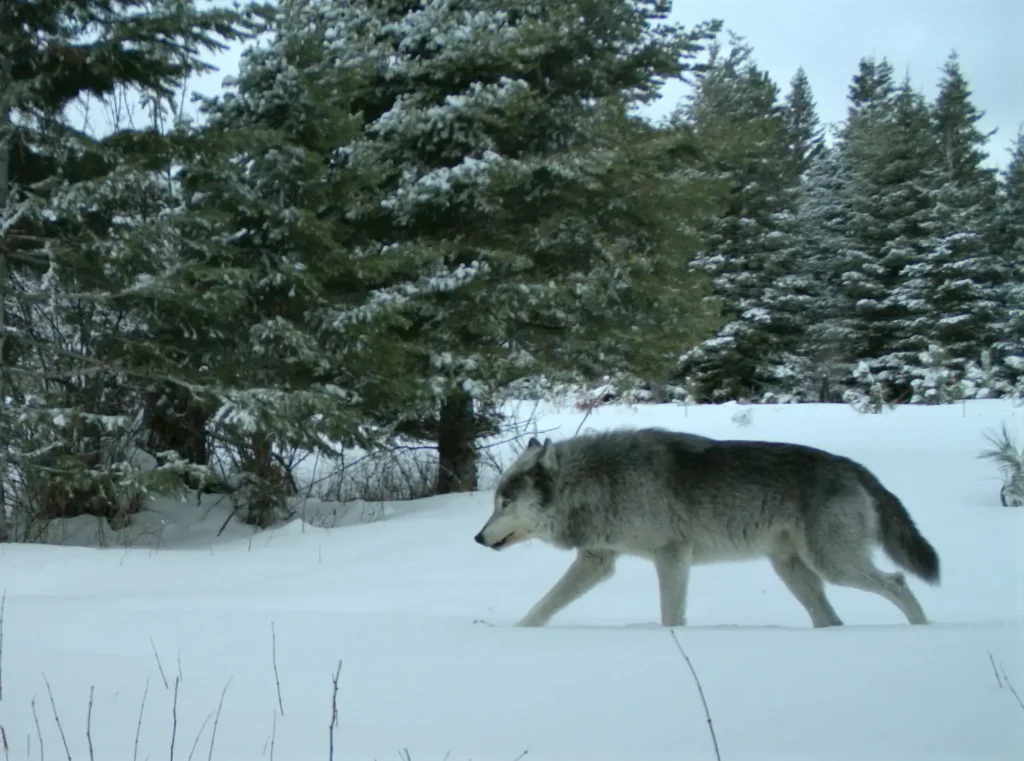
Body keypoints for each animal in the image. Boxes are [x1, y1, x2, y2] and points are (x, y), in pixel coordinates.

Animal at [474, 428, 941, 628]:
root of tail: (854, 468)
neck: (600, 482)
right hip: (794, 570)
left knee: (898, 582)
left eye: (504, 503)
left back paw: (924, 632)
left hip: (833, 566)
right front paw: (517, 634)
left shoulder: (671, 556)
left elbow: (671, 616)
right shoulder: (597, 559)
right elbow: (544, 605)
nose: (478, 537)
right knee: (830, 619)